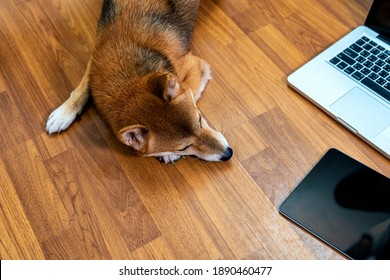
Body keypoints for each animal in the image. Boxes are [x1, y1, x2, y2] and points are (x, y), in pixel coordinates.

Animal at [46, 0, 233, 163]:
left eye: (200, 119)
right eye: (184, 147)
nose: (228, 154)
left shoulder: (196, 67)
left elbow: (189, 90)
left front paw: (167, 154)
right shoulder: (97, 56)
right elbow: (84, 83)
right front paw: (64, 112)